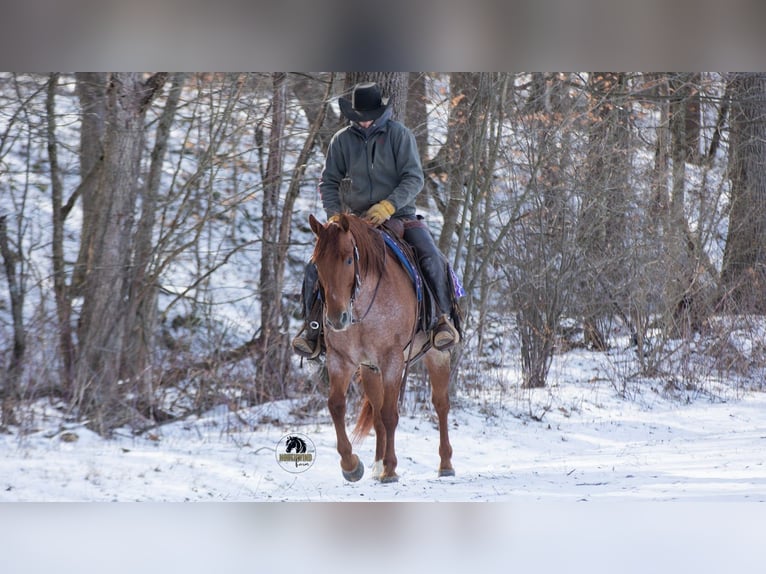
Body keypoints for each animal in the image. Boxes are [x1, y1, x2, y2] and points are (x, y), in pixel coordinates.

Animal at [308, 212, 455, 483]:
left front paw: (391, 468)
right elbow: (336, 405)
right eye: (317, 264)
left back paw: (445, 463)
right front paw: (351, 465)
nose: (336, 319)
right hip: (370, 369)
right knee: (375, 414)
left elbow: (390, 414)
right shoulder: (341, 360)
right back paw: (376, 466)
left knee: (441, 404)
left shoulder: (392, 360)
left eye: (348, 259)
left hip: (437, 354)